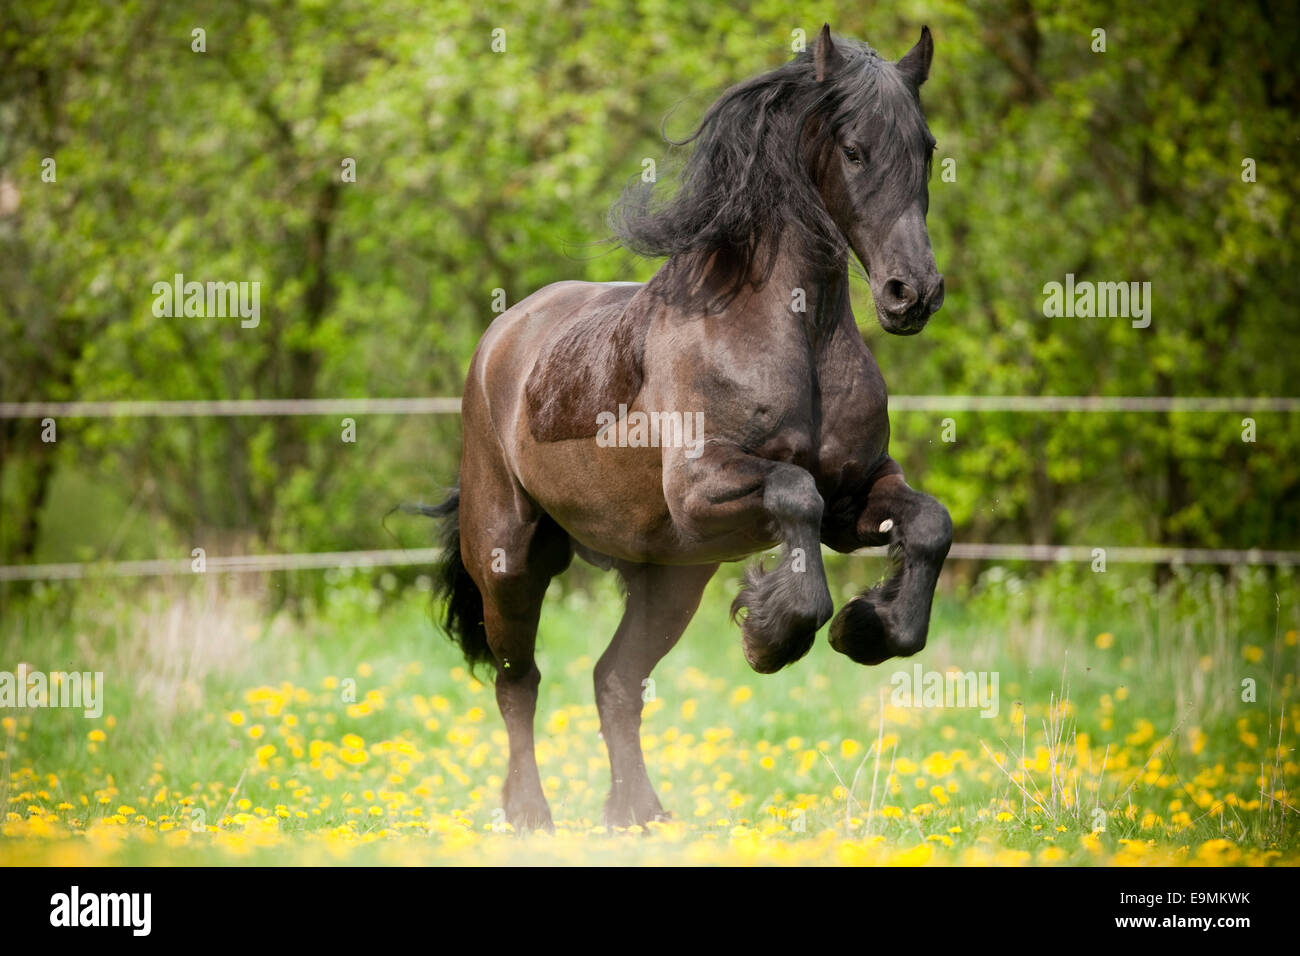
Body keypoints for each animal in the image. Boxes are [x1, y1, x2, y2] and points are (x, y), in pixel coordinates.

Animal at [428, 24, 952, 831]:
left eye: (926, 149)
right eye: (854, 148)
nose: (912, 293)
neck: (788, 335)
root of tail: (502, 338)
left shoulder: (855, 497)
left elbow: (928, 524)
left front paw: (864, 630)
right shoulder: (707, 491)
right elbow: (794, 494)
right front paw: (770, 635)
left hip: (670, 578)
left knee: (614, 679)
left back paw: (637, 815)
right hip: (509, 559)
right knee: (519, 682)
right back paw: (531, 817)